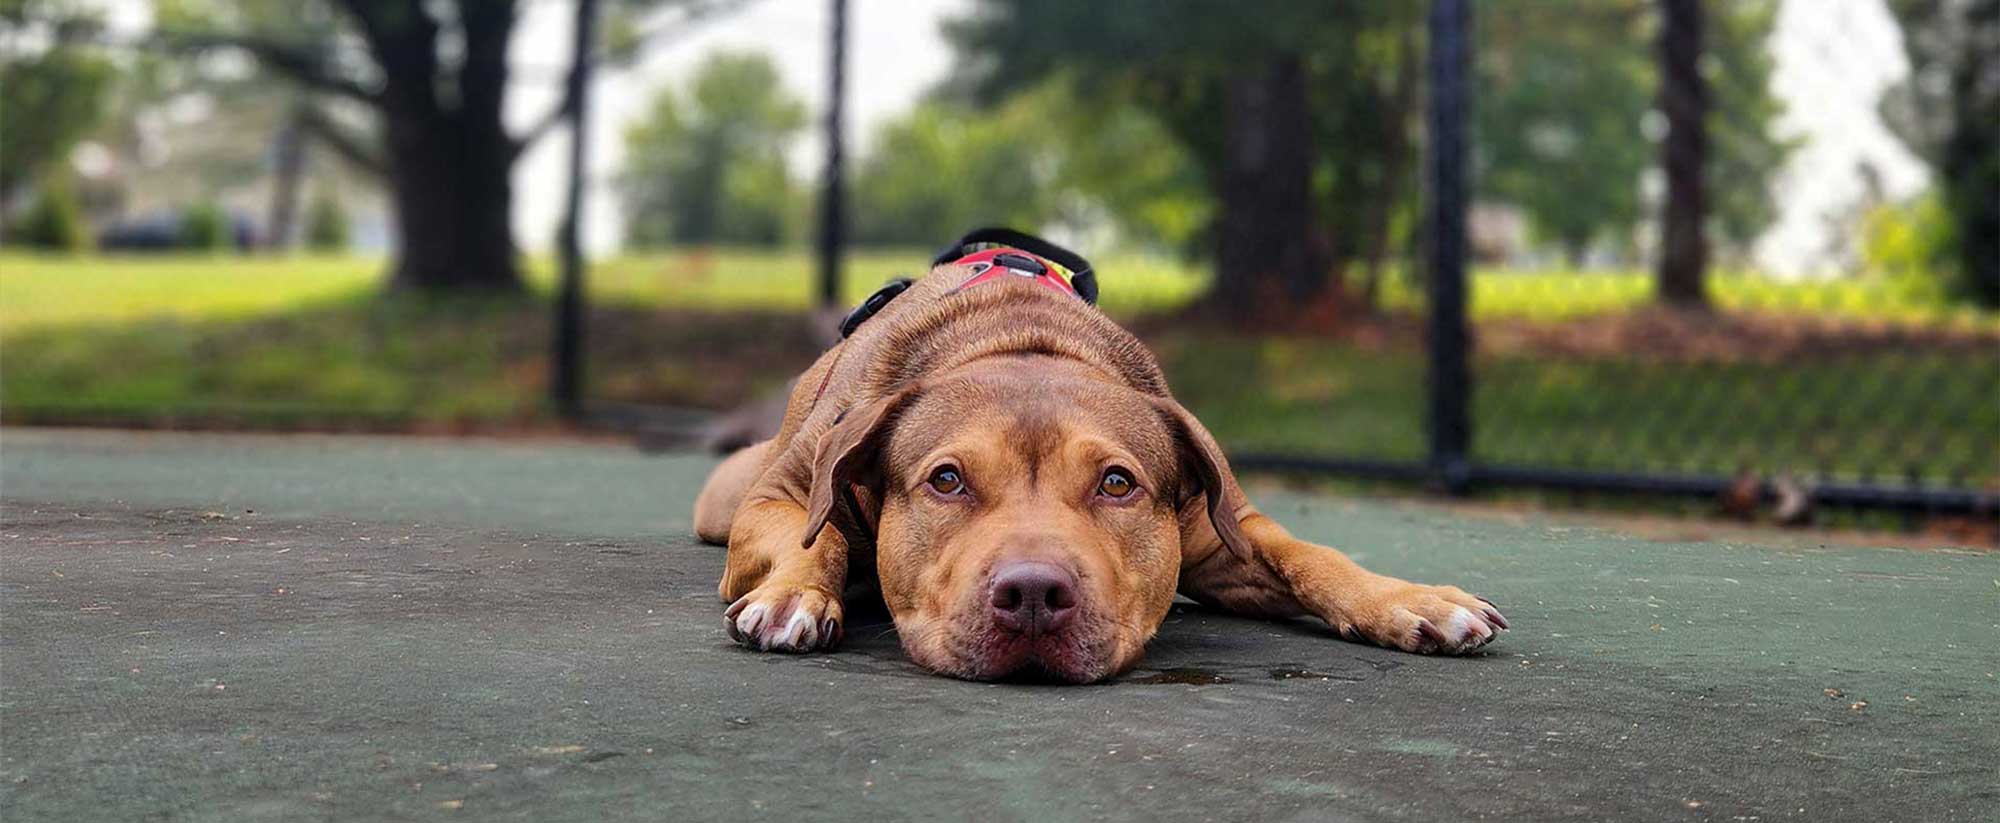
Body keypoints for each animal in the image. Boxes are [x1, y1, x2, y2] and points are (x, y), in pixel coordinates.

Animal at [696, 248, 1504, 683]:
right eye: (946, 480)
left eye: (1118, 483)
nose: (1031, 594)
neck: (1018, 336)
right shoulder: (779, 497)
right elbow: (820, 537)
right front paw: (796, 596)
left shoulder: (1223, 533)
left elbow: (1313, 555)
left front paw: (1408, 599)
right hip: (727, 494)